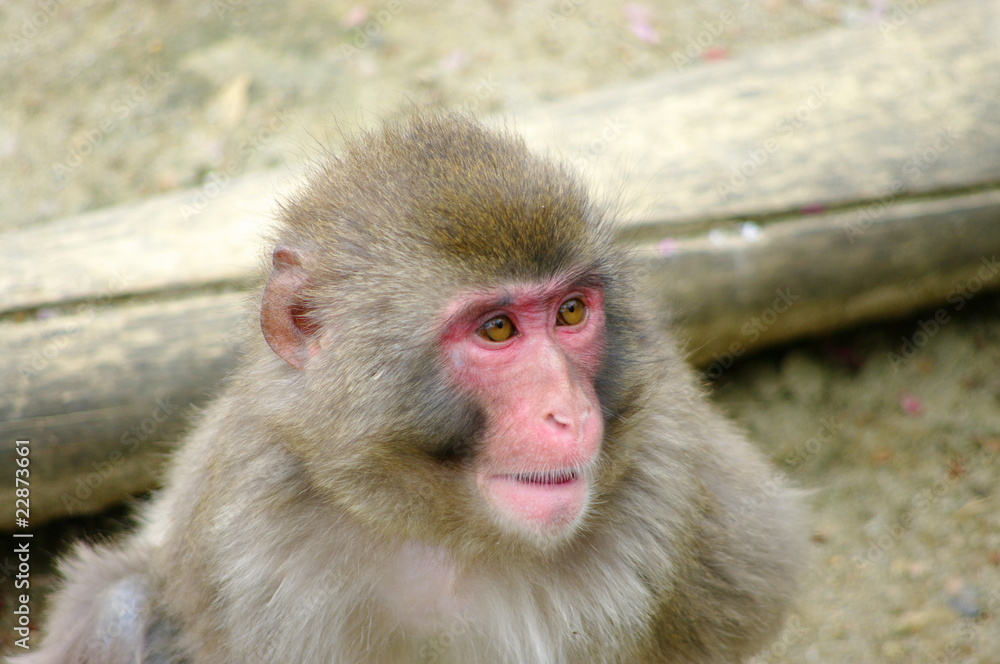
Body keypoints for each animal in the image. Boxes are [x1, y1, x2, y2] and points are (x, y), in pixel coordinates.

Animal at [13, 114, 804, 664]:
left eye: (572, 312)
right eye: (496, 329)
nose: (571, 411)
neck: (448, 534)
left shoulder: (668, 479)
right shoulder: (249, 527)